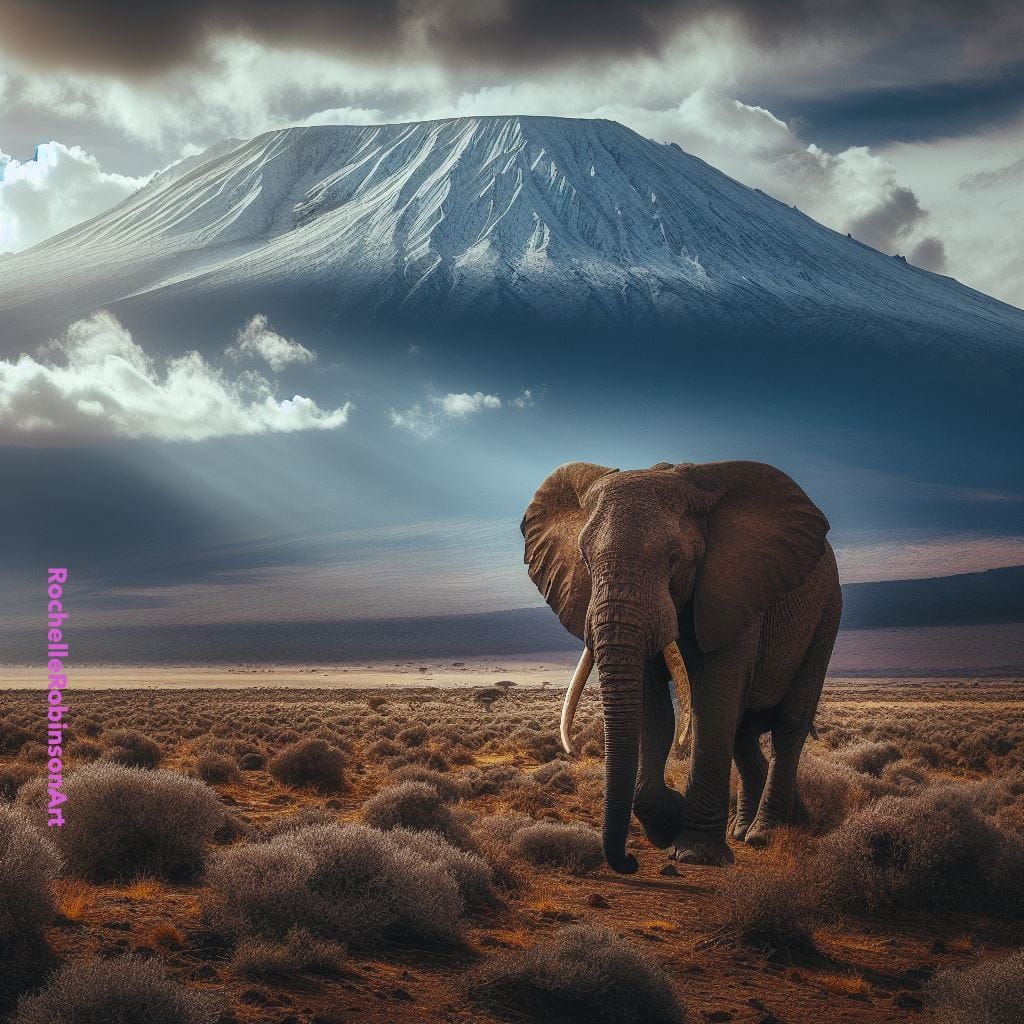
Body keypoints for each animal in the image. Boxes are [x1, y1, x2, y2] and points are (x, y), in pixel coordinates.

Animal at [521, 460, 841, 874]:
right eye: (586, 560)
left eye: (674, 559)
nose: (629, 862)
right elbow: (652, 708)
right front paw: (669, 824)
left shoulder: (733, 590)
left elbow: (715, 701)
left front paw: (695, 853)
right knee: (743, 735)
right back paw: (764, 827)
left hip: (827, 614)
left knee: (788, 727)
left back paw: (766, 833)